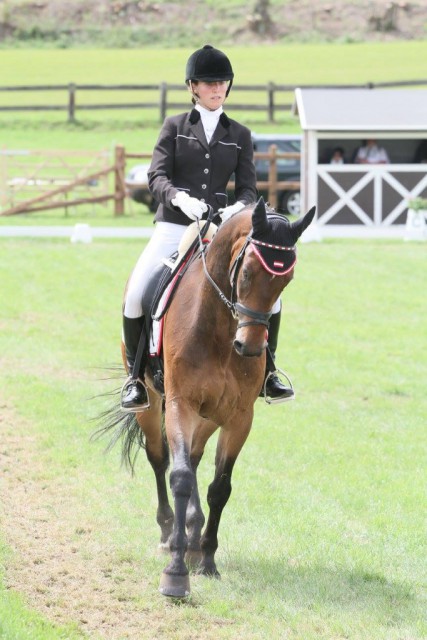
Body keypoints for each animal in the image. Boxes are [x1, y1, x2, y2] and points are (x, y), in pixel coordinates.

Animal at [99, 198, 314, 596]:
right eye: (246, 273)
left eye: (286, 280)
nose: (250, 347)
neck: (219, 329)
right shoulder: (180, 404)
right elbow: (180, 477)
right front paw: (175, 573)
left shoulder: (239, 416)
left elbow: (219, 487)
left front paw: (208, 558)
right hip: (152, 404)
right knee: (160, 459)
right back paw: (170, 531)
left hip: (209, 415)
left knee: (196, 457)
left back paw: (193, 533)